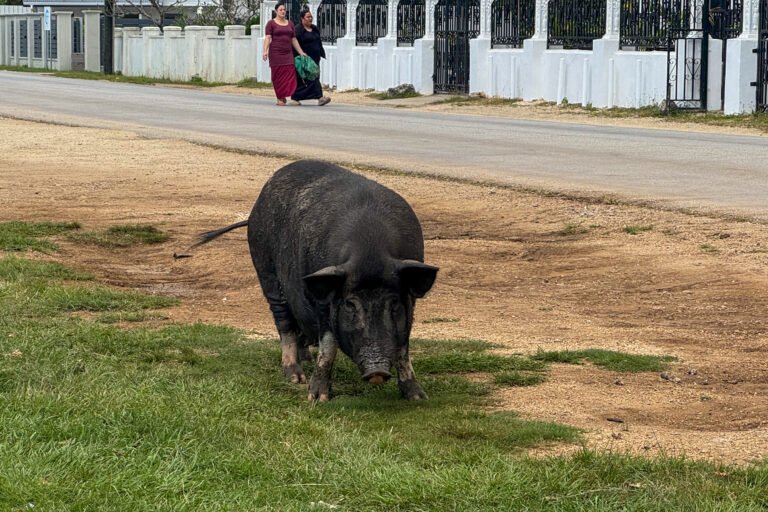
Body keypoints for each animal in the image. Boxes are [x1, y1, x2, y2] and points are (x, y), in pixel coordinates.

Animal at [195, 160, 438, 401]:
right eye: (349, 304)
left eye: (394, 302)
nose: (376, 371)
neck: (370, 253)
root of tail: (255, 208)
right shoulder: (322, 302)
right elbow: (328, 346)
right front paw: (317, 397)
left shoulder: (410, 300)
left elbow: (404, 348)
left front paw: (418, 397)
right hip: (266, 271)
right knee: (284, 323)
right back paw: (295, 376)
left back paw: (306, 360)